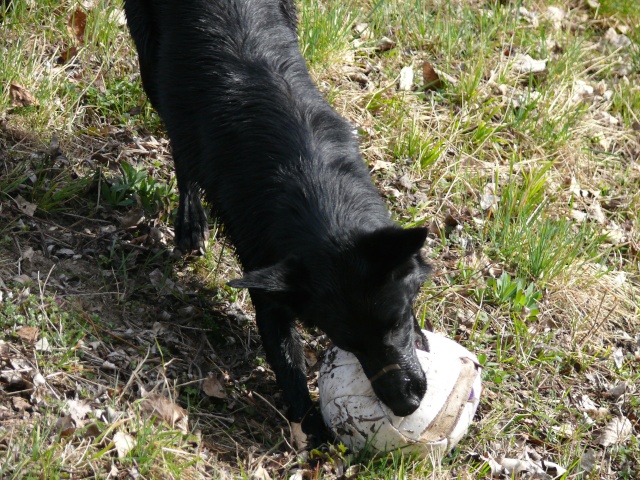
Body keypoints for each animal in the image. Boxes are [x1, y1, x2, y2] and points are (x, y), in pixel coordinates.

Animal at [122, 0, 432, 438]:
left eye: (397, 320)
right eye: (347, 343)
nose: (407, 406)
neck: (307, 178)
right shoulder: (266, 272)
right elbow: (286, 359)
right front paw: (313, 426)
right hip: (154, 69)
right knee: (179, 145)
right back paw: (190, 221)